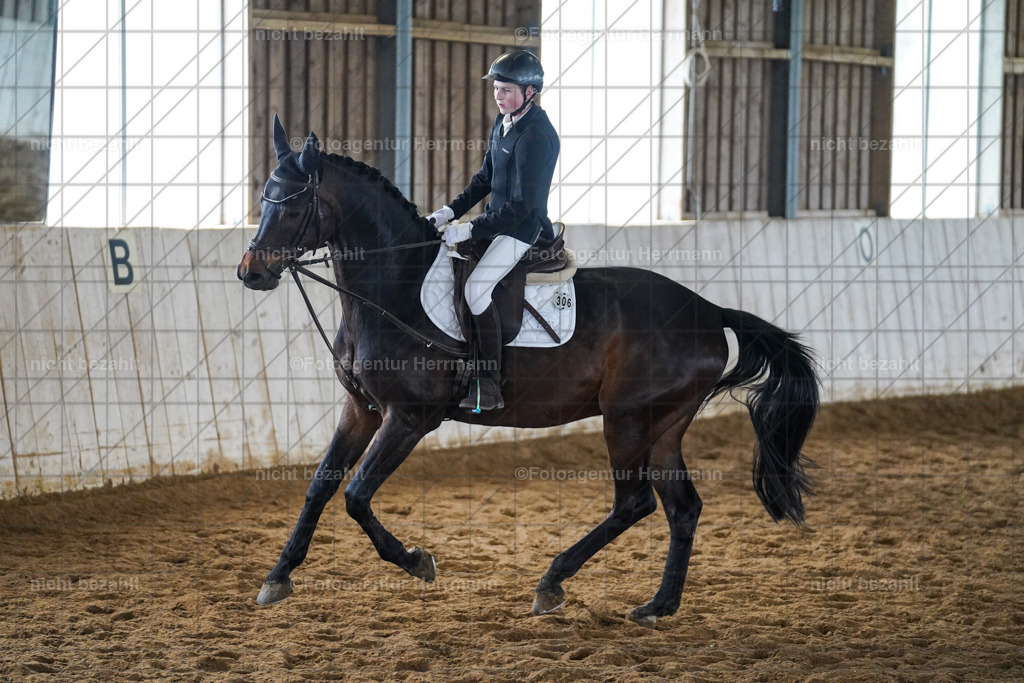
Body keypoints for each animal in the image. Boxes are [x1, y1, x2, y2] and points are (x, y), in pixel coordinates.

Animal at [237, 116, 819, 628]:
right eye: (264, 199)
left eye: (292, 204)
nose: (251, 274)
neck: (393, 286)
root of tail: (709, 310)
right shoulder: (361, 408)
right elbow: (321, 486)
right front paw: (277, 577)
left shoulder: (409, 417)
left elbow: (356, 495)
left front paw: (418, 562)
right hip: (664, 425)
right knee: (684, 509)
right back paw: (657, 607)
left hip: (627, 419)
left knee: (634, 503)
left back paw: (552, 583)